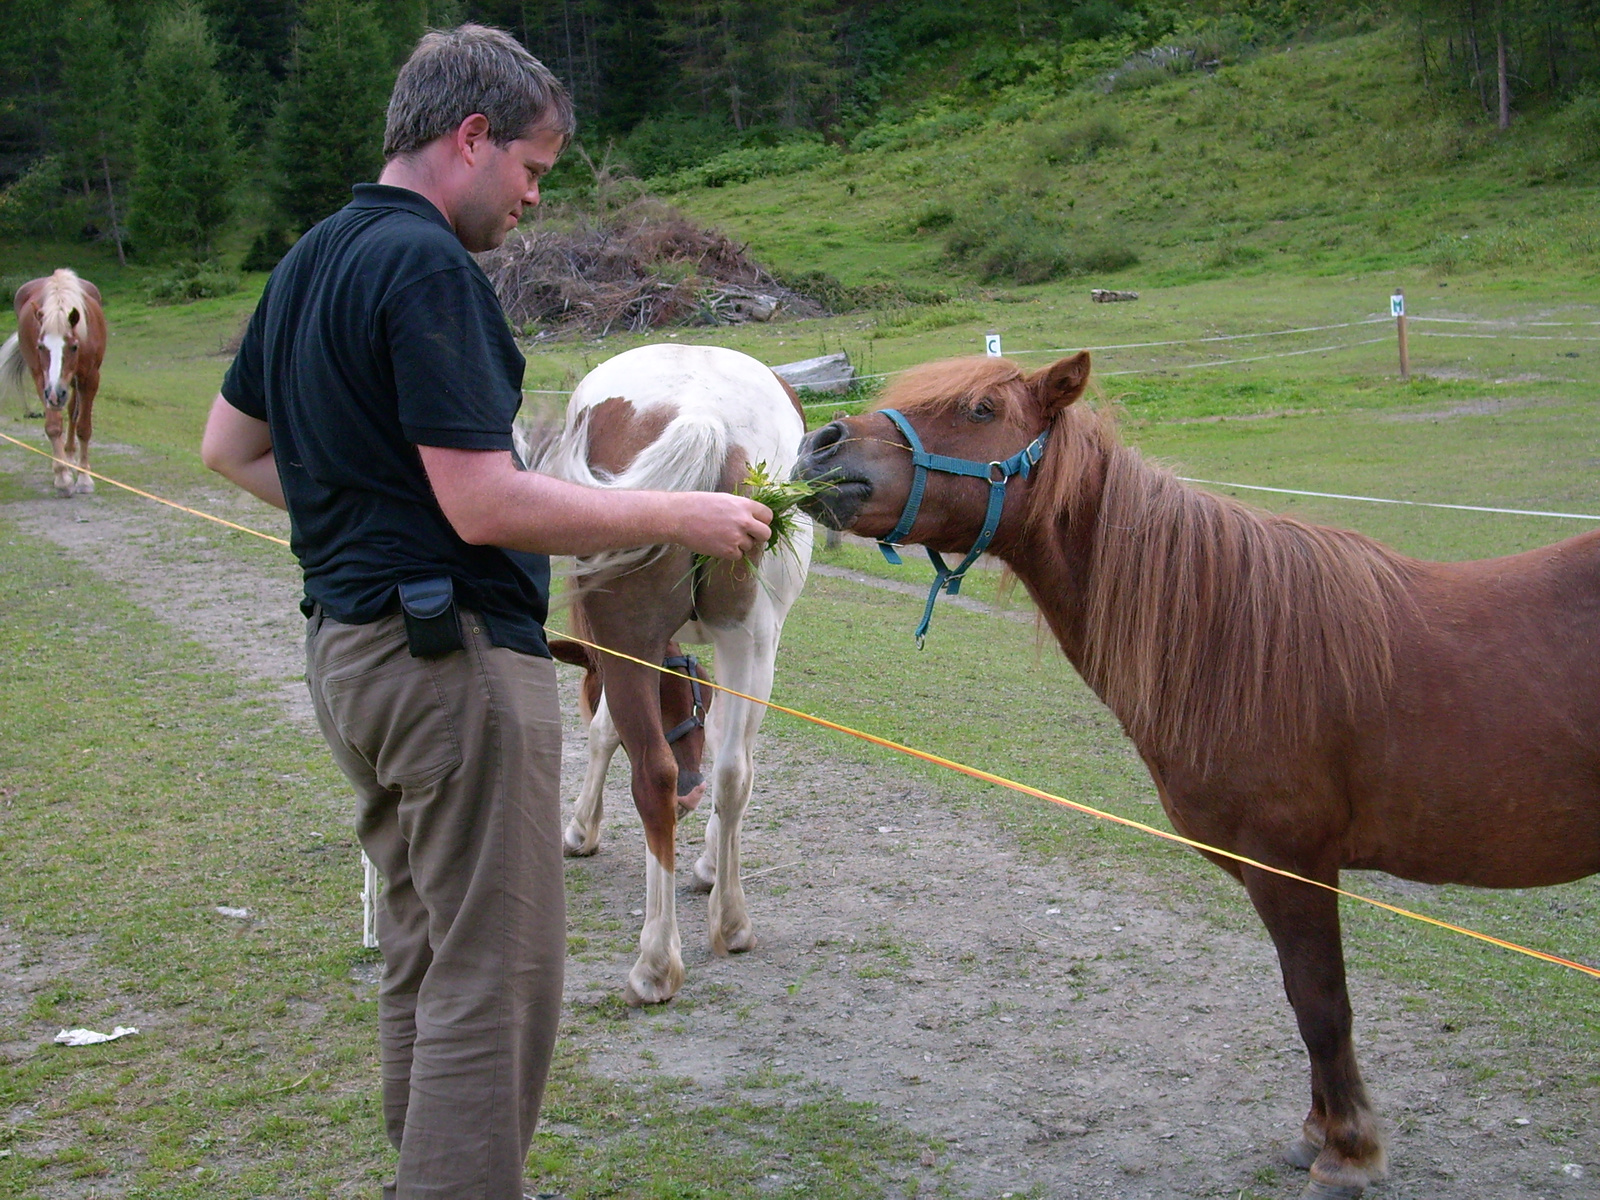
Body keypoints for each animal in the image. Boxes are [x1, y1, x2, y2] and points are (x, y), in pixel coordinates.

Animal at [0, 270, 108, 496]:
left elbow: (84, 427)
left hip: (74, 384)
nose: (56, 394)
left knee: (73, 412)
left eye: (74, 346)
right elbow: (53, 427)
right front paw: (62, 476)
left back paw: (71, 457)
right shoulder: (43, 380)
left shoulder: (90, 379)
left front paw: (84, 478)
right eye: (41, 346)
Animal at [537, 342, 812, 1011]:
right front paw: (713, 866)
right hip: (751, 643)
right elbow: (728, 766)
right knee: (731, 773)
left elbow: (603, 731)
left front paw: (580, 830)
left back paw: (657, 962)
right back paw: (728, 926)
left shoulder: (613, 657)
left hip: (634, 640)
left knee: (656, 775)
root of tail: (700, 414)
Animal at [796, 352, 1600, 1200]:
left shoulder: (1292, 865)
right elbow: (1302, 999)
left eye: (980, 409)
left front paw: (1347, 1153)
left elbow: (1322, 1004)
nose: (821, 443)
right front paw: (1317, 1133)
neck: (1237, 639)